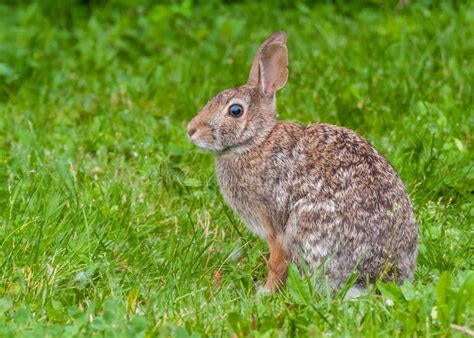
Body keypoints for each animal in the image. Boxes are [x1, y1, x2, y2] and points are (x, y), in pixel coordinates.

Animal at [187, 33, 416, 294]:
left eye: (235, 110)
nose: (191, 130)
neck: (256, 141)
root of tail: (375, 276)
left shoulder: (275, 225)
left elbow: (277, 262)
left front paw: (264, 292)